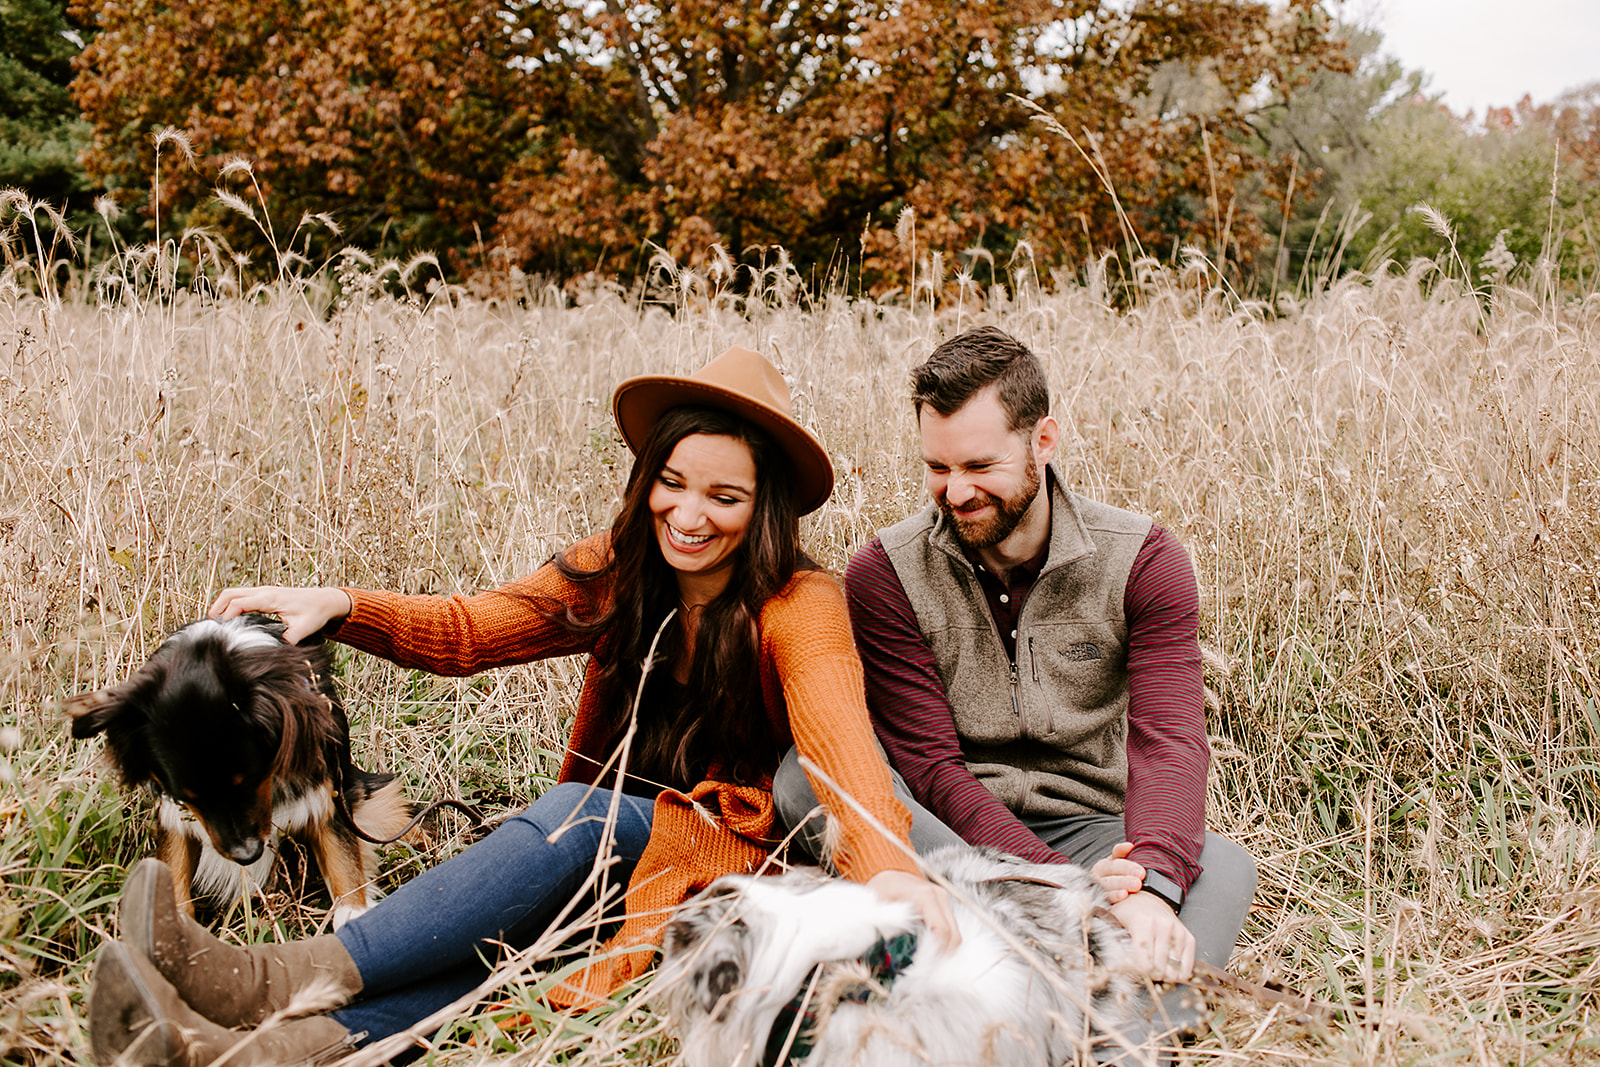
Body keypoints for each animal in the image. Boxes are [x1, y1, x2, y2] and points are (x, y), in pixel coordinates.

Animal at [69, 614, 409, 927]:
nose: (247, 855)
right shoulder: (171, 811)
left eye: (249, 780)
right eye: (187, 796)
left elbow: (342, 860)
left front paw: (353, 913)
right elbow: (174, 869)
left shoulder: (328, 789)